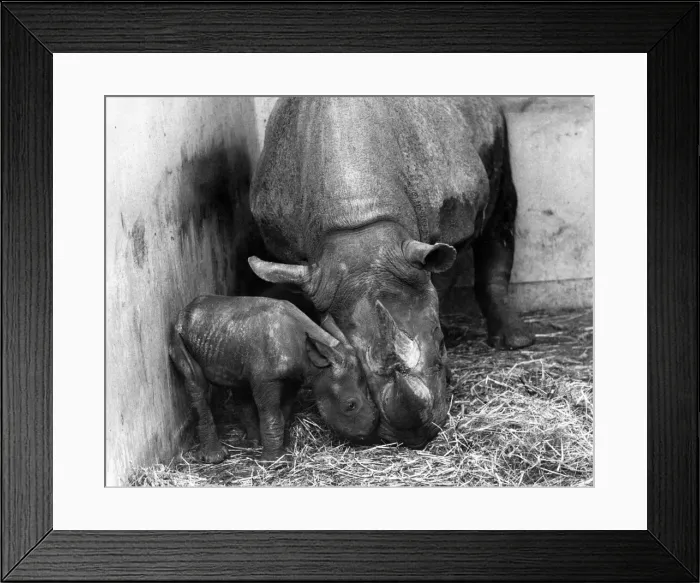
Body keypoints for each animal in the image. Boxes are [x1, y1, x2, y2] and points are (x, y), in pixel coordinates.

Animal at [248, 97, 533, 448]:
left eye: (440, 343)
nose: (415, 435)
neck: (357, 223)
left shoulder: (443, 236)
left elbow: (438, 288)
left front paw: (448, 368)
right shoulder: (297, 263)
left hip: (490, 122)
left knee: (500, 210)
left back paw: (514, 343)